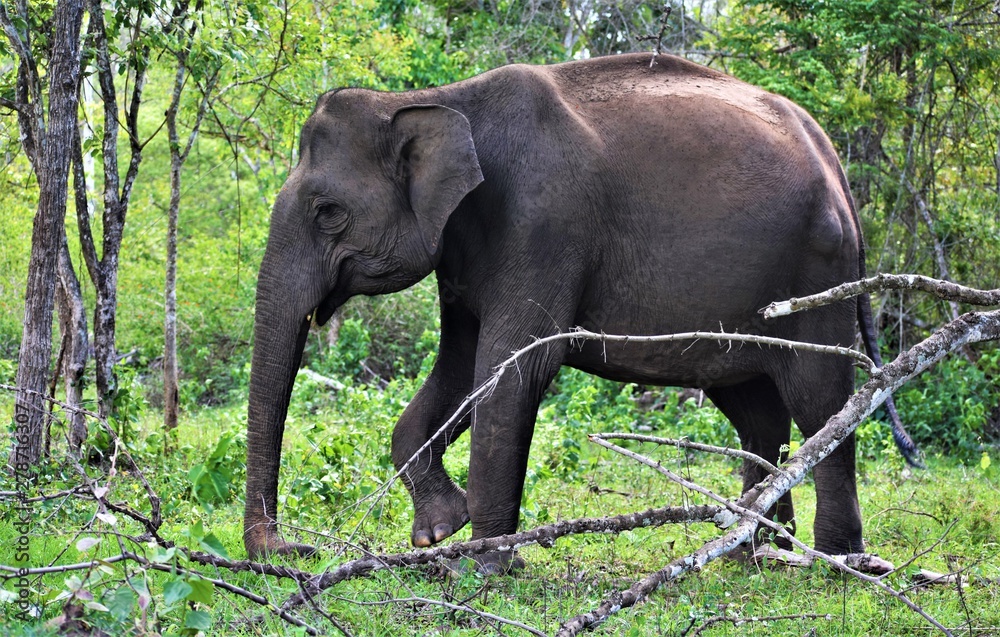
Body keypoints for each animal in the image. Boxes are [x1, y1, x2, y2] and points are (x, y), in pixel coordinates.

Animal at [243, 52, 919, 567]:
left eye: (329, 212)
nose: (293, 551)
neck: (435, 99)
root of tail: (832, 157)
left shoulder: (543, 226)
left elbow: (512, 372)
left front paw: (481, 566)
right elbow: (460, 370)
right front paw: (439, 531)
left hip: (819, 267)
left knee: (820, 401)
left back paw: (833, 563)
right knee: (756, 410)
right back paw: (753, 553)